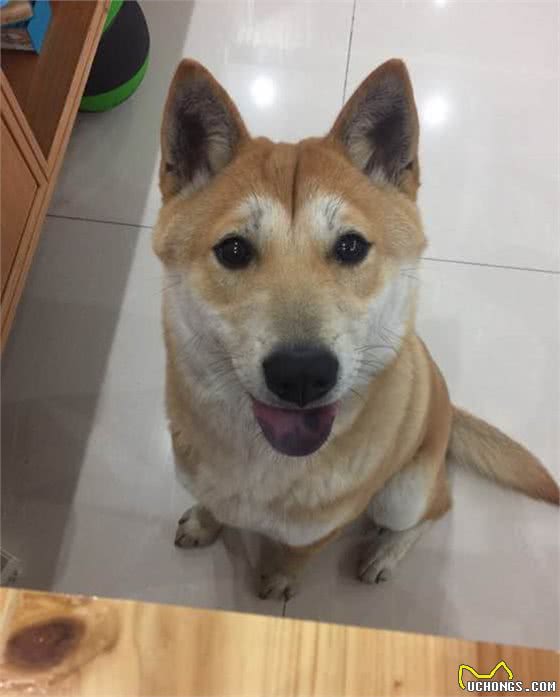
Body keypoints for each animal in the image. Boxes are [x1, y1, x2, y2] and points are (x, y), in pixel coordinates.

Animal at [153, 58, 559, 600]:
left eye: (350, 247)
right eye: (234, 250)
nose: (301, 374)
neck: (265, 461)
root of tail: (448, 409)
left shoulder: (319, 531)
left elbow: (294, 555)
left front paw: (277, 581)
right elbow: (212, 505)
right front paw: (204, 523)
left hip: (403, 493)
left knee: (437, 508)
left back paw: (385, 553)